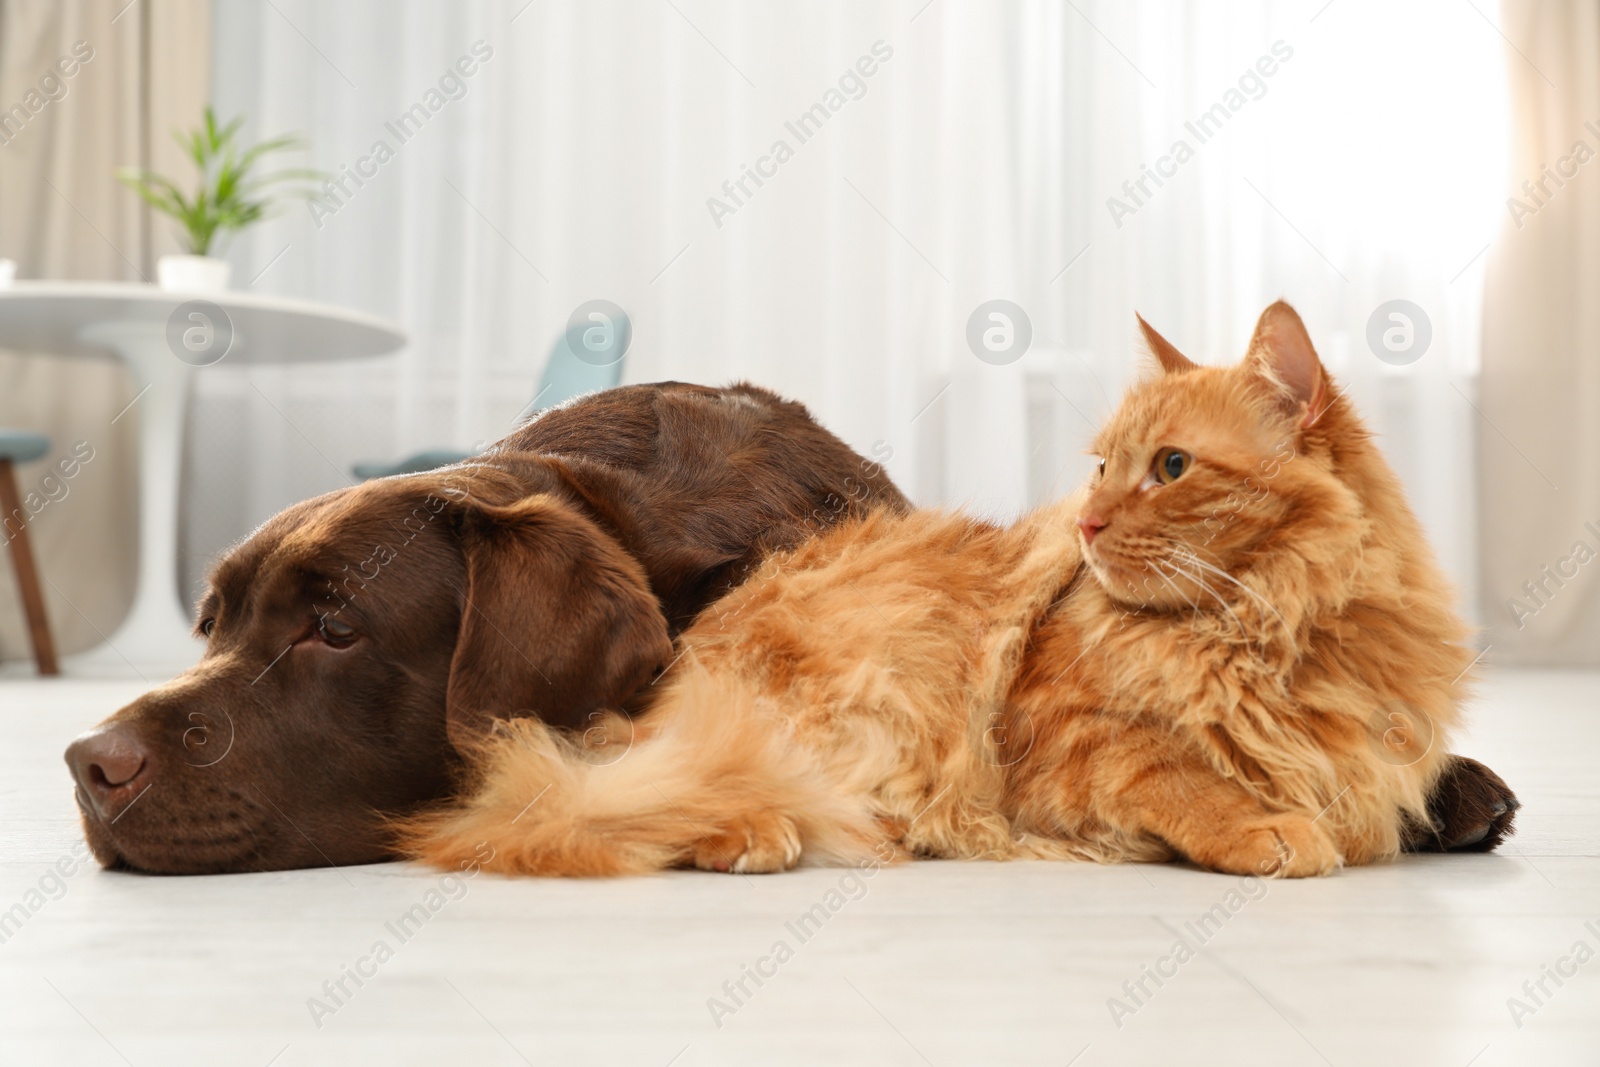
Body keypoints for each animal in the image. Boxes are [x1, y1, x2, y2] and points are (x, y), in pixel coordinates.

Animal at [406, 300, 1478, 876]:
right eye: (1102, 468)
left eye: (1170, 468)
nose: (1087, 525)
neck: (1279, 630)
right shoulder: (1061, 752)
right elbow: (1179, 774)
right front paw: (1264, 824)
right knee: (631, 796)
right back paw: (750, 829)